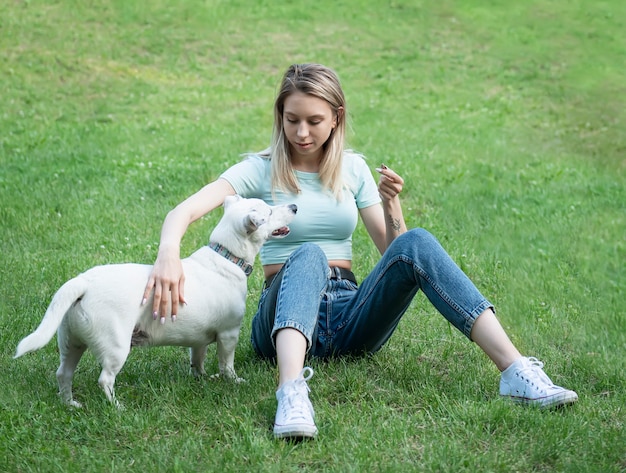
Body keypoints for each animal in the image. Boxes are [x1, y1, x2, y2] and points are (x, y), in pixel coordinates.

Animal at [14, 195, 296, 406]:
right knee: (105, 379)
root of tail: (83, 283)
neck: (226, 256)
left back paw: (70, 403)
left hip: (71, 342)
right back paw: (117, 407)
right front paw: (233, 381)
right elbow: (227, 365)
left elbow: (197, 360)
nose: (294, 206)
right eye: (269, 211)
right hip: (116, 346)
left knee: (63, 373)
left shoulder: (199, 340)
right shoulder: (228, 334)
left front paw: (202, 379)